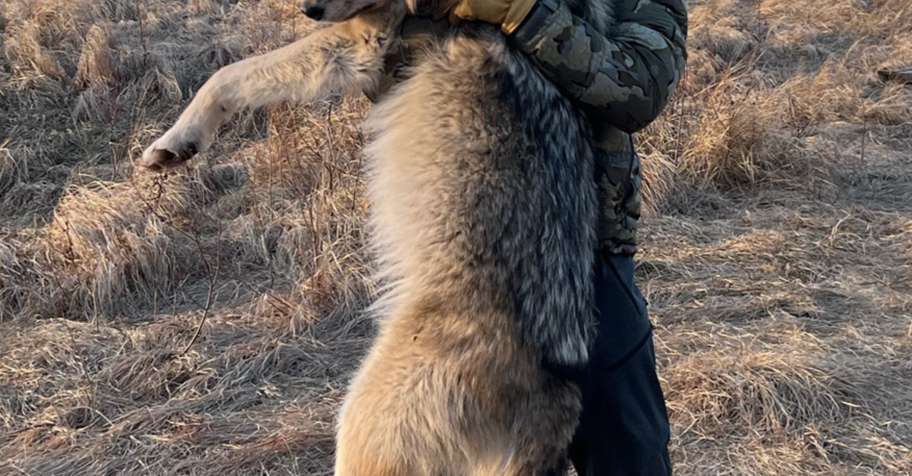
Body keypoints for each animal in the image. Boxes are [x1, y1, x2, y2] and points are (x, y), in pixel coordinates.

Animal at [141, 0, 614, 472]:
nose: (309, 10)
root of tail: (558, 400)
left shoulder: (361, 43)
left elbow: (229, 74)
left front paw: (172, 143)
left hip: (362, 425)